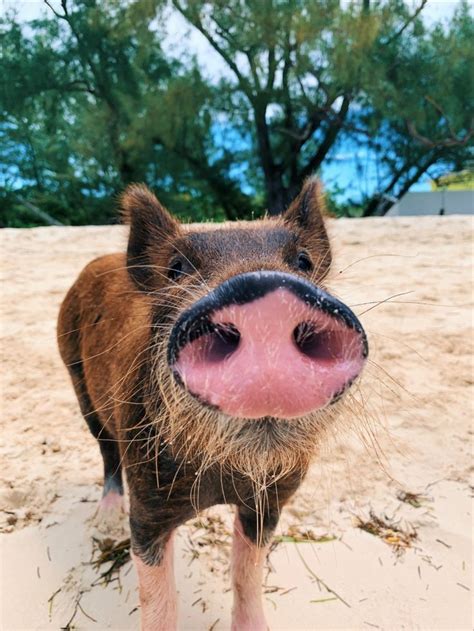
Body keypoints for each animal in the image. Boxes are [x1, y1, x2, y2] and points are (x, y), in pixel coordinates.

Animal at [55, 179, 366, 631]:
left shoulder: (270, 501)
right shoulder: (146, 508)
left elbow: (247, 575)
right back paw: (105, 520)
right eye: (176, 269)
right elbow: (158, 599)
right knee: (107, 452)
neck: (220, 475)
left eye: (303, 261)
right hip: (76, 378)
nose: (267, 293)